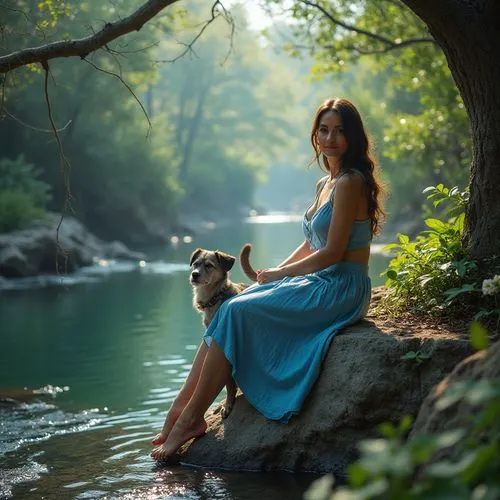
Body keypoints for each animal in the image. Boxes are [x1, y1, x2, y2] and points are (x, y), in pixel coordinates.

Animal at [188, 243, 256, 418]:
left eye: (209, 265)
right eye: (195, 264)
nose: (194, 275)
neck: (214, 298)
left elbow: (229, 383)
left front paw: (228, 403)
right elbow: (228, 383)